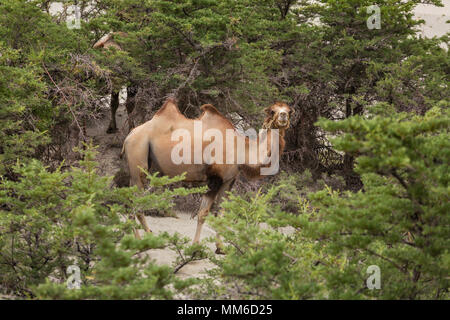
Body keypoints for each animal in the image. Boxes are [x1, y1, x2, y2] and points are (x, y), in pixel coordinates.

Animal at [121, 98, 294, 252]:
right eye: (272, 111)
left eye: (289, 110)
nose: (283, 115)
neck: (240, 149)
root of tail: (130, 134)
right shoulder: (214, 179)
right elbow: (203, 213)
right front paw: (196, 248)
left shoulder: (228, 181)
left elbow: (221, 212)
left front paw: (221, 248)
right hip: (138, 158)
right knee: (134, 201)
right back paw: (139, 241)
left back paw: (144, 238)